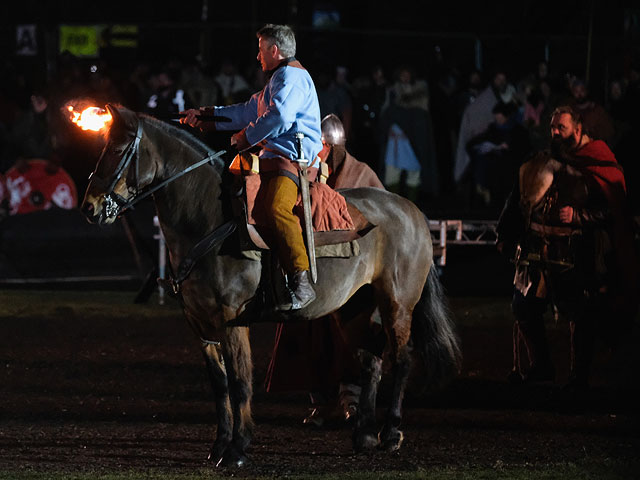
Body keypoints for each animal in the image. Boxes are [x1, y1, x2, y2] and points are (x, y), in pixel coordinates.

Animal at [80, 103, 462, 466]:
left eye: (118, 148)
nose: (90, 207)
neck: (210, 220)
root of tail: (411, 210)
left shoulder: (232, 321)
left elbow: (240, 383)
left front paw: (237, 449)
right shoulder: (200, 325)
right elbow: (220, 385)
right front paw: (219, 446)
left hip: (398, 303)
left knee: (401, 358)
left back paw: (392, 433)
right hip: (354, 307)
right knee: (371, 358)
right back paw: (364, 435)